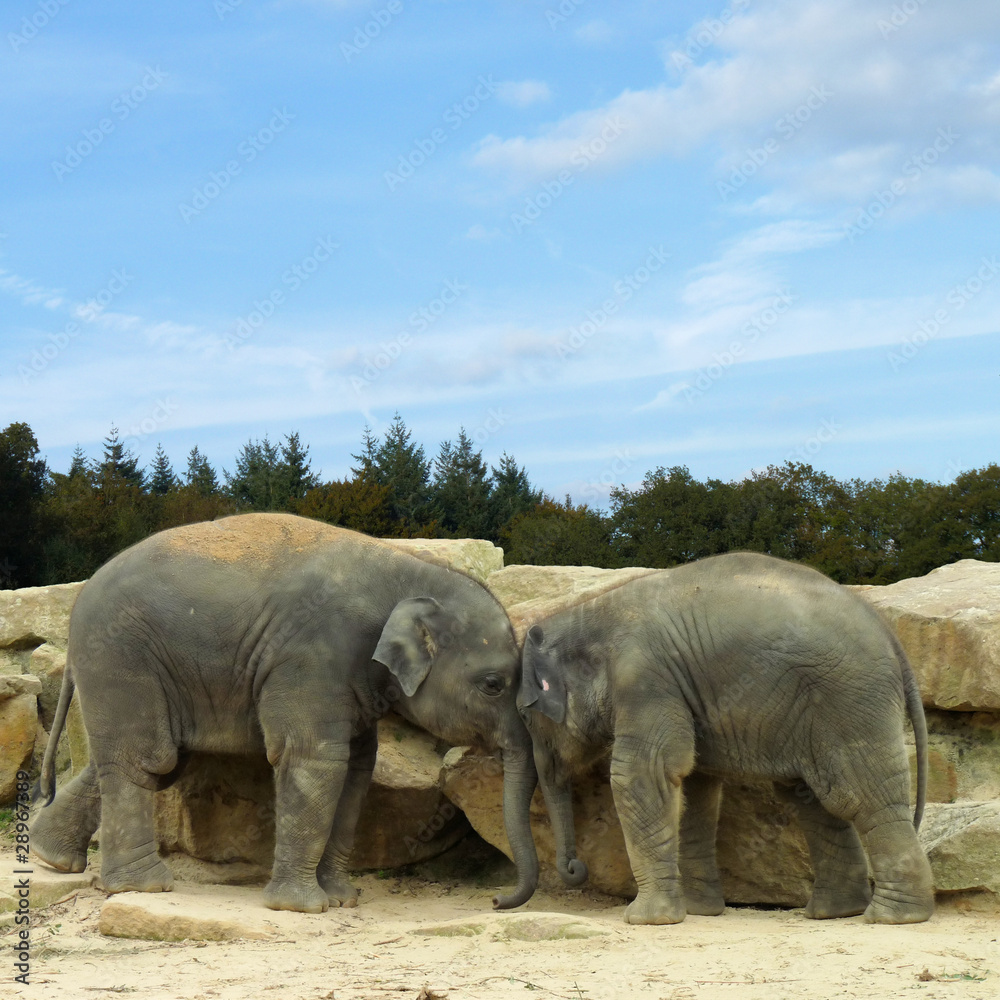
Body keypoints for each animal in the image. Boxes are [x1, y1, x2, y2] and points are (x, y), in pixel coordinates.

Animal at [32, 513, 539, 913]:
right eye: (494, 685)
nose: (496, 899)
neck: (410, 570)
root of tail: (76, 605)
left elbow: (357, 768)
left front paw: (342, 899)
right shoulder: (313, 656)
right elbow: (315, 760)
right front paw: (304, 907)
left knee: (156, 758)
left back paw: (51, 856)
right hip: (121, 656)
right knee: (147, 758)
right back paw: (144, 886)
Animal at [516, 552, 935, 925]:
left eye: (525, 715)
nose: (575, 868)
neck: (590, 613)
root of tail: (890, 635)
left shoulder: (646, 679)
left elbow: (644, 773)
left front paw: (646, 920)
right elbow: (694, 785)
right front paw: (698, 912)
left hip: (849, 698)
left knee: (857, 794)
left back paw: (893, 917)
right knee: (811, 798)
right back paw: (834, 913)